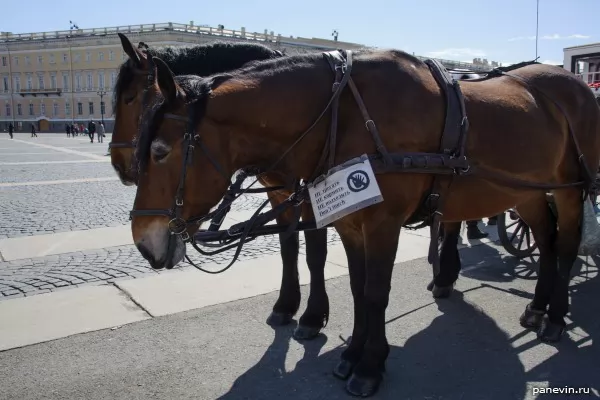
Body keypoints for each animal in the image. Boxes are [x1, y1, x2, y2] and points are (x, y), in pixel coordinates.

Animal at [110, 35, 330, 340]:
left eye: (129, 98)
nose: (118, 163)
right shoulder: (279, 192)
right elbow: (288, 247)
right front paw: (286, 305)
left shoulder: (312, 192)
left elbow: (315, 251)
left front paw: (313, 315)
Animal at [127, 50, 600, 396]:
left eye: (161, 151)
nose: (144, 242)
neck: (347, 116)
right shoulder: (349, 223)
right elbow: (356, 289)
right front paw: (352, 352)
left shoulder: (383, 224)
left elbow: (374, 292)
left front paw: (371, 365)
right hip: (528, 191)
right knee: (546, 239)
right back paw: (537, 307)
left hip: (570, 188)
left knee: (565, 245)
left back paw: (556, 316)